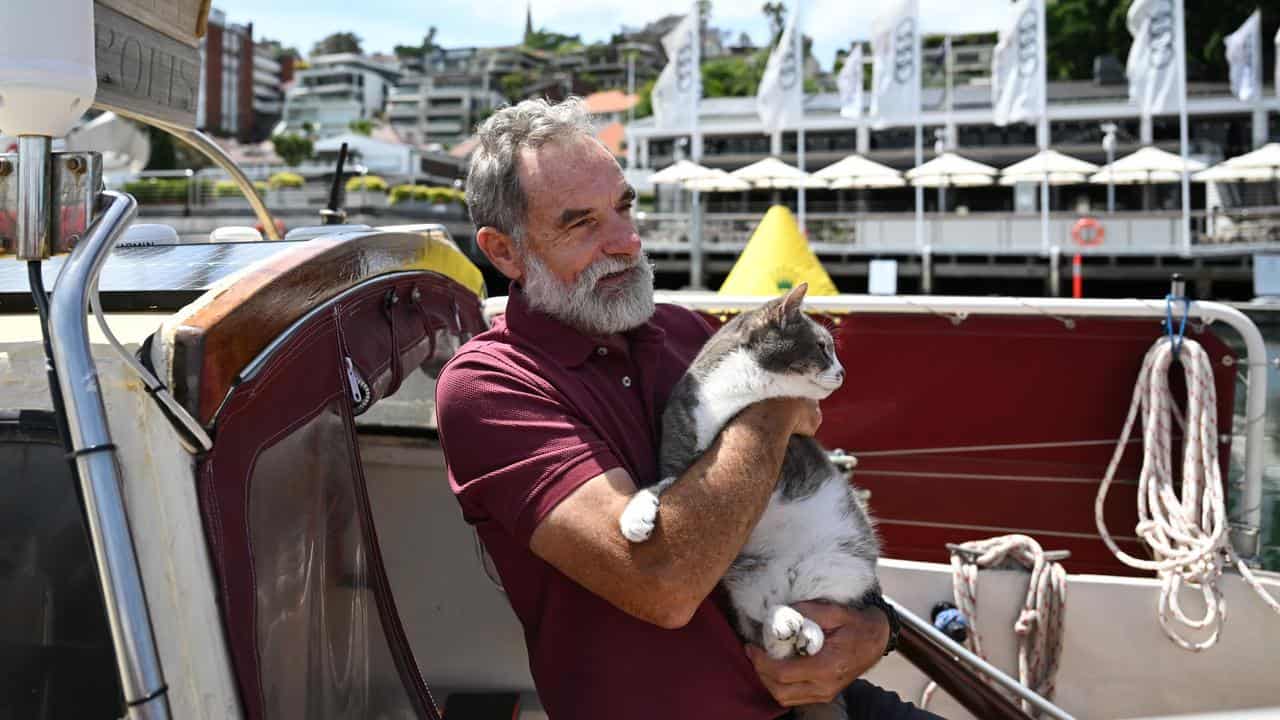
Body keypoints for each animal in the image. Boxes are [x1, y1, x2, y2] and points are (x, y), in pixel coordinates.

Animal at [616, 284, 880, 712]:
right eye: (823, 347)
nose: (843, 372)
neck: (737, 393)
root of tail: (790, 577)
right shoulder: (681, 449)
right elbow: (657, 484)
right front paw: (634, 517)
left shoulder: (792, 451)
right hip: (747, 580)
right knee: (764, 625)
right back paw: (784, 625)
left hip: (845, 564)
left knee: (818, 608)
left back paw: (806, 632)